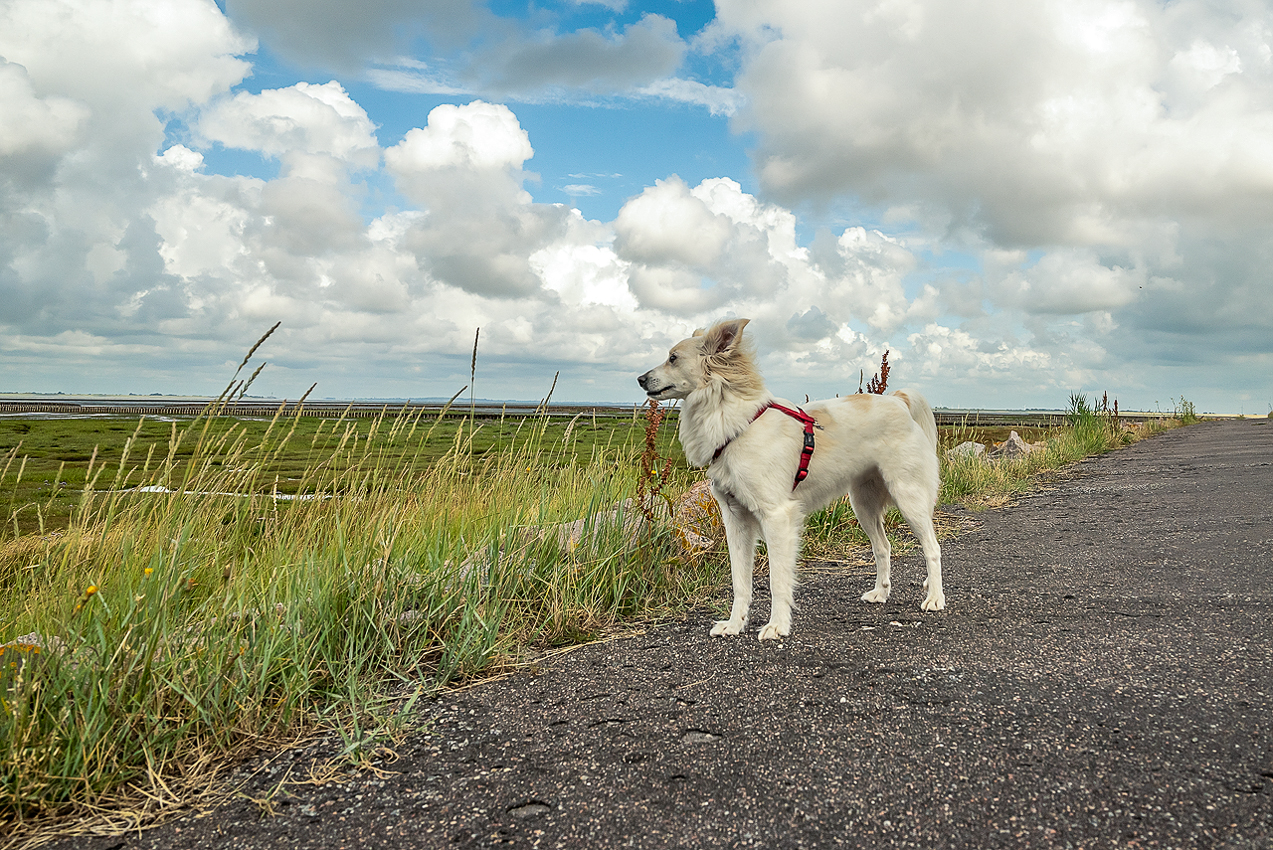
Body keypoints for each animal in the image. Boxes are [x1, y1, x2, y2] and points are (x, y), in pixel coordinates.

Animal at [636, 318, 947, 636]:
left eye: (673, 358)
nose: (640, 379)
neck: (736, 424)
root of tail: (898, 401)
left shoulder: (777, 517)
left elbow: (777, 580)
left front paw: (777, 625)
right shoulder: (735, 519)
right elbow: (740, 583)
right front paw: (735, 624)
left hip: (909, 498)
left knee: (932, 548)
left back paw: (935, 597)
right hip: (863, 505)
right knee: (883, 547)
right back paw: (881, 592)